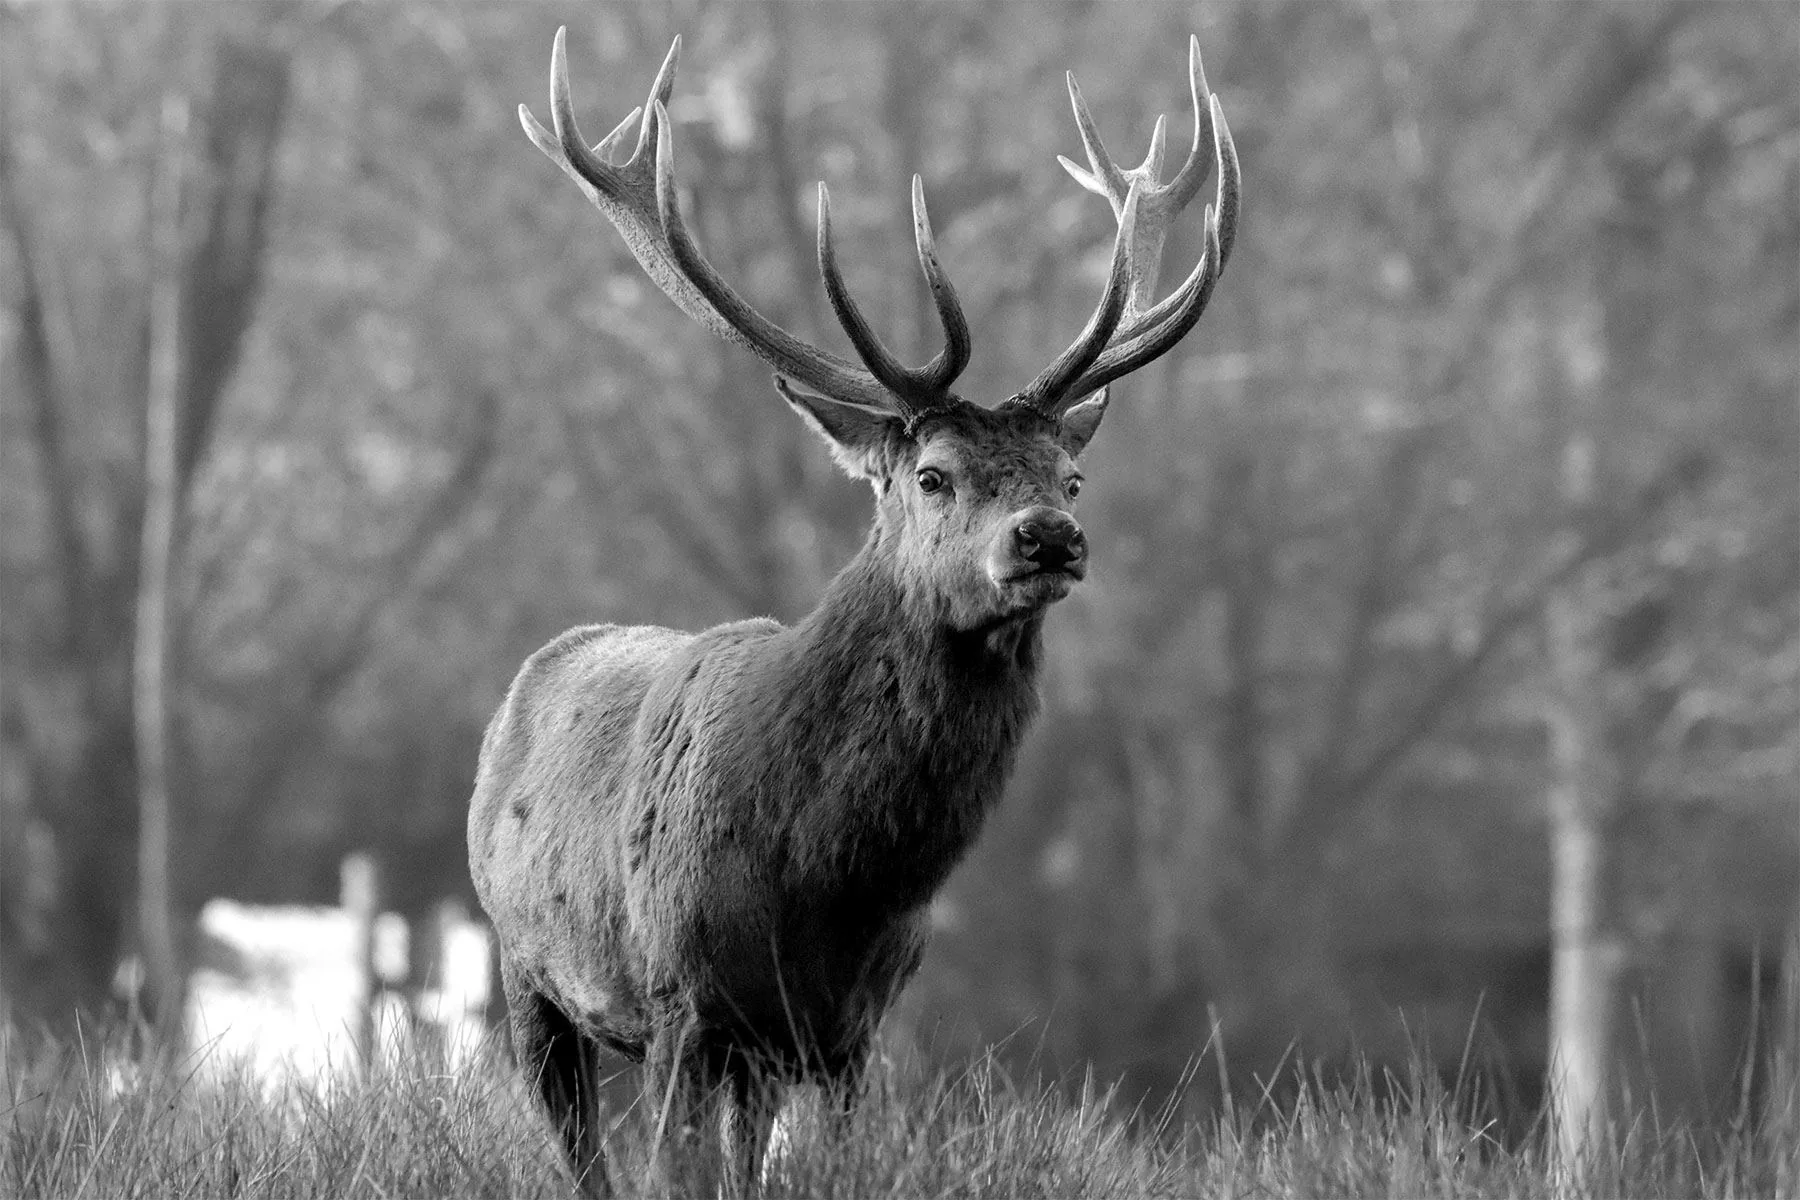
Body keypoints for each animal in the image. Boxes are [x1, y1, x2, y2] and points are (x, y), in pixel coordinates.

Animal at [469, 26, 1238, 1197]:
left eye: (1072, 478)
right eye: (931, 473)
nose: (1049, 539)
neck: (824, 879)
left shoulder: (851, 1028)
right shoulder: (683, 1001)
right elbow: (674, 1172)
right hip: (526, 968)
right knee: (580, 1151)